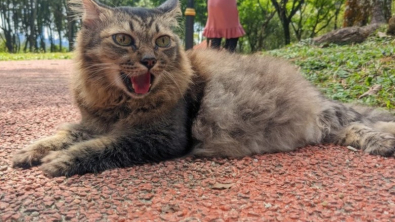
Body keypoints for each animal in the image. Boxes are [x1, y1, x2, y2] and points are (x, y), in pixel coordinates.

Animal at [12, 0, 395, 177]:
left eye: (163, 41)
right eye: (123, 40)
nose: (150, 60)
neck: (119, 104)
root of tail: (317, 94)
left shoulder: (160, 137)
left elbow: (102, 147)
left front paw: (59, 161)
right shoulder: (92, 122)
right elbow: (60, 134)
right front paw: (29, 152)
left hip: (328, 116)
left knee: (358, 124)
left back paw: (382, 143)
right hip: (326, 127)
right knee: (346, 131)